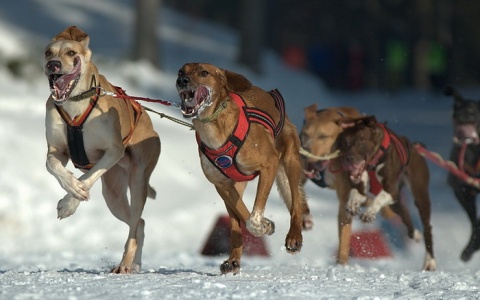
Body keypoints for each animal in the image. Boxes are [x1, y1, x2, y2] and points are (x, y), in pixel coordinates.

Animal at [43, 26, 159, 274]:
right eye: (48, 53)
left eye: (71, 53)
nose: (53, 65)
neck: (75, 104)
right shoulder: (57, 150)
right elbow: (52, 165)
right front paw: (71, 186)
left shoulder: (113, 151)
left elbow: (88, 176)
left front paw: (70, 201)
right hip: (113, 197)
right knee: (139, 224)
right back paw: (134, 264)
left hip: (138, 182)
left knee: (135, 225)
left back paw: (125, 264)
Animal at [176, 62, 312, 274]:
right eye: (181, 71)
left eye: (204, 72)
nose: (182, 80)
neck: (214, 128)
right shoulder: (222, 185)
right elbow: (243, 217)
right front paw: (265, 226)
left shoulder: (269, 165)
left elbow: (254, 217)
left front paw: (263, 225)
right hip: (235, 187)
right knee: (235, 223)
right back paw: (233, 260)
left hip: (291, 162)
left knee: (296, 203)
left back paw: (294, 237)